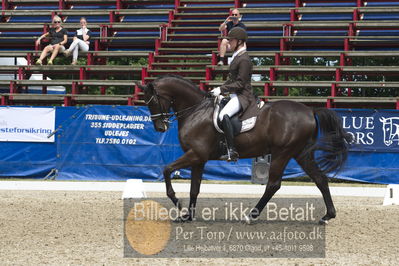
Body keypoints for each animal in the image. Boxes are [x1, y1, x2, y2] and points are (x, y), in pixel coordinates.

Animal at [139, 75, 352, 224]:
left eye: (153, 101)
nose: (159, 128)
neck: (195, 111)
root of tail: (310, 110)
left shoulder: (195, 154)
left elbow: (166, 170)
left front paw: (178, 204)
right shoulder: (199, 159)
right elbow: (194, 189)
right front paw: (187, 216)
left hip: (282, 153)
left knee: (273, 185)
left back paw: (251, 216)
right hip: (302, 153)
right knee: (320, 179)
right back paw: (327, 216)